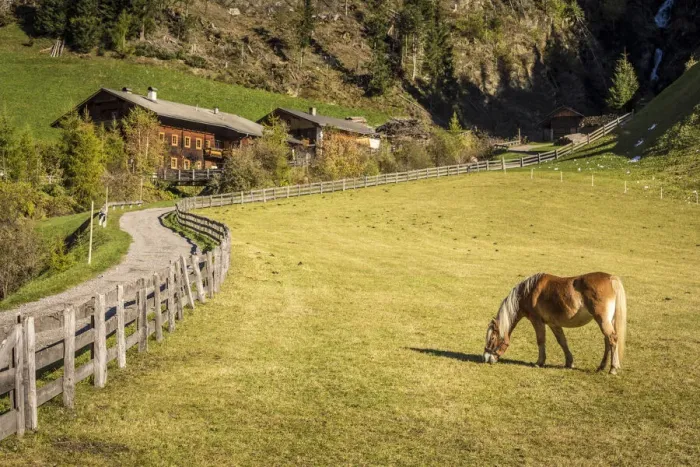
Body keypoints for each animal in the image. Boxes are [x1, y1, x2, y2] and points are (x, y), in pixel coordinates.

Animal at [483, 272, 627, 374]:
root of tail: (610, 278)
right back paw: (601, 367)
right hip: (607, 321)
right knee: (607, 341)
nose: (486, 358)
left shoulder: (537, 321)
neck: (528, 292)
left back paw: (613, 368)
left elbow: (541, 340)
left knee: (612, 339)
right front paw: (569, 362)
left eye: (492, 338)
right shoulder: (554, 324)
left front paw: (539, 362)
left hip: (602, 320)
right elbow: (562, 341)